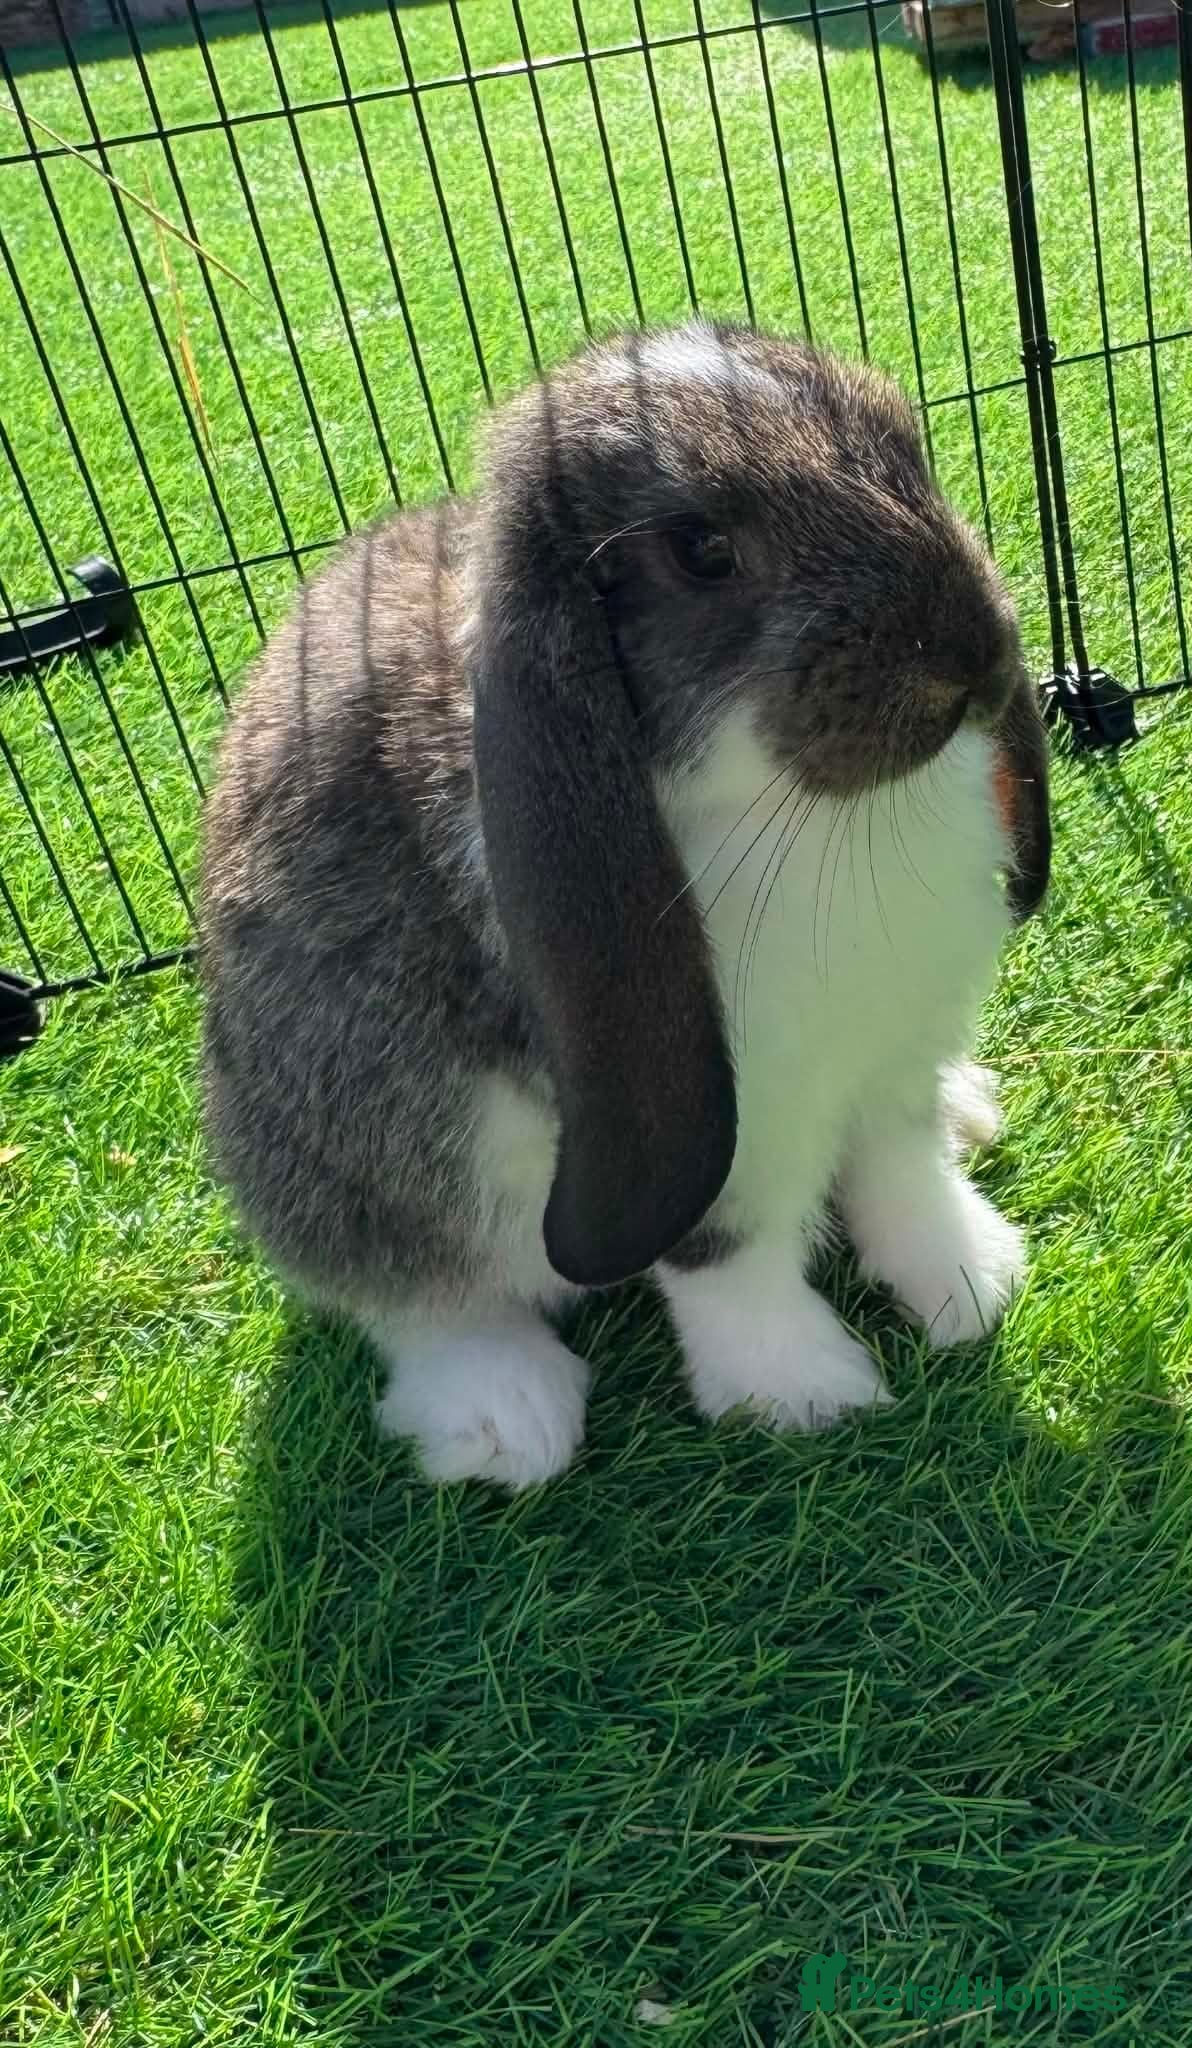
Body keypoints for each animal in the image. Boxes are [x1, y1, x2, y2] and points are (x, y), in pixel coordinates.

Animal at [200, 318, 1050, 1490]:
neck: (793, 812)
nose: (971, 658)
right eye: (701, 551)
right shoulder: (707, 1114)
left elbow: (903, 1171)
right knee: (407, 1287)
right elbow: (727, 1256)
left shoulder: (888, 1063)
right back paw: (504, 1416)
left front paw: (973, 1284)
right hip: (342, 1143)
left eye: (903, 450)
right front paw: (803, 1395)